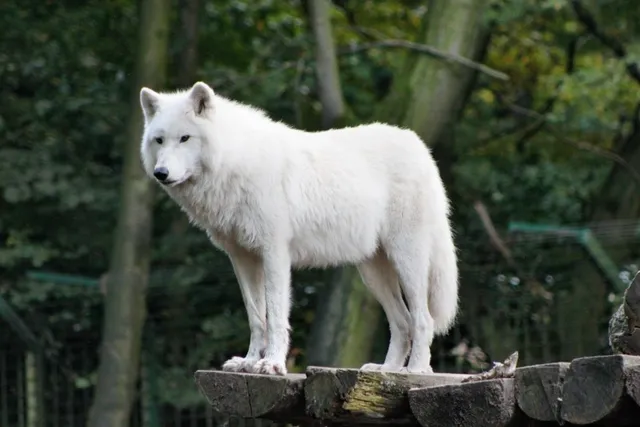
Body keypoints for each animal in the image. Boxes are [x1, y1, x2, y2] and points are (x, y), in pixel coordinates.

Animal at [138, 81, 459, 376]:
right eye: (159, 140)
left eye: (185, 138)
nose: (161, 173)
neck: (234, 162)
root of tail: (419, 146)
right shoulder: (242, 258)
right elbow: (256, 317)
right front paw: (249, 362)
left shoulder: (275, 254)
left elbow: (276, 315)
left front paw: (272, 364)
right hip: (372, 272)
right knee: (402, 322)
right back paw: (386, 370)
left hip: (407, 261)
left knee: (423, 319)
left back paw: (416, 370)